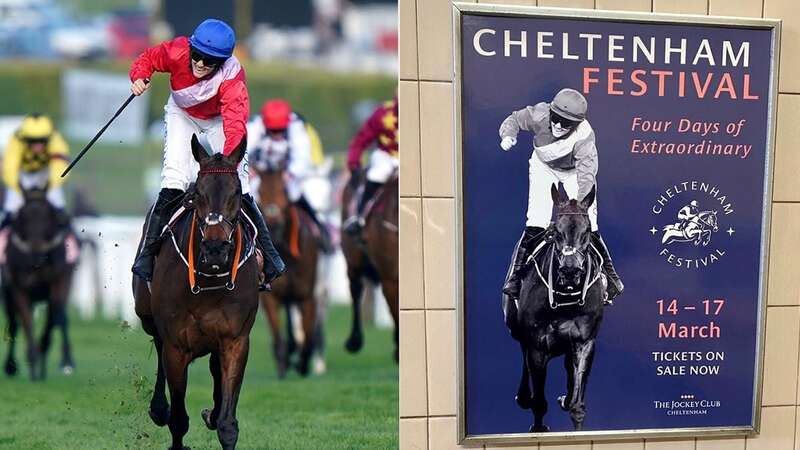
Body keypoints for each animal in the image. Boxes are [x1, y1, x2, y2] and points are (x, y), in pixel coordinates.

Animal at [134, 136, 260, 450]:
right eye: (198, 194)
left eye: (237, 193)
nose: (215, 248)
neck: (210, 279)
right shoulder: (177, 346)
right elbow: (178, 420)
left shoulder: (236, 340)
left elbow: (228, 423)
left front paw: (217, 416)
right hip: (146, 316)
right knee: (158, 345)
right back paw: (159, 408)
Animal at [504, 184, 608, 432]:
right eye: (556, 233)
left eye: (587, 231)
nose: (570, 270)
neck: (565, 299)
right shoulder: (537, 345)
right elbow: (539, 401)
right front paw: (538, 427)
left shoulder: (585, 341)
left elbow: (577, 403)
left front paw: (570, 403)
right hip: (515, 328)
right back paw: (523, 396)